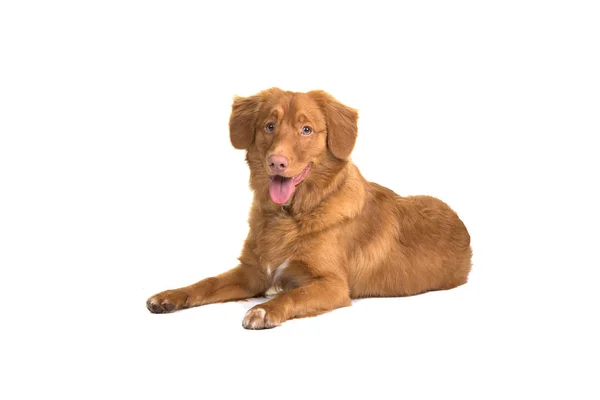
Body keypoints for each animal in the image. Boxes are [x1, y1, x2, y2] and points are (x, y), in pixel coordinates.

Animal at [146, 89, 474, 330]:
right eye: (269, 126)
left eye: (306, 130)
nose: (276, 162)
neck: (291, 214)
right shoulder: (251, 273)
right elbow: (207, 282)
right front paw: (170, 296)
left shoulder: (333, 285)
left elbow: (295, 293)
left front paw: (264, 309)